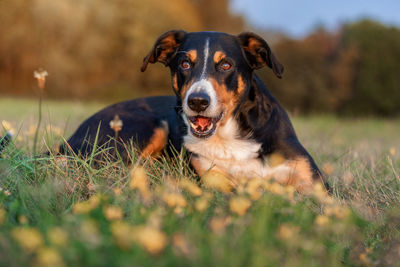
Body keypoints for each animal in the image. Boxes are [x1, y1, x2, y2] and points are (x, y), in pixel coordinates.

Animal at [1, 30, 330, 192]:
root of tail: (73, 135)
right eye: (184, 63)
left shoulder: (316, 185)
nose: (197, 102)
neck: (231, 135)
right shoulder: (213, 182)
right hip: (146, 126)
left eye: (225, 65)